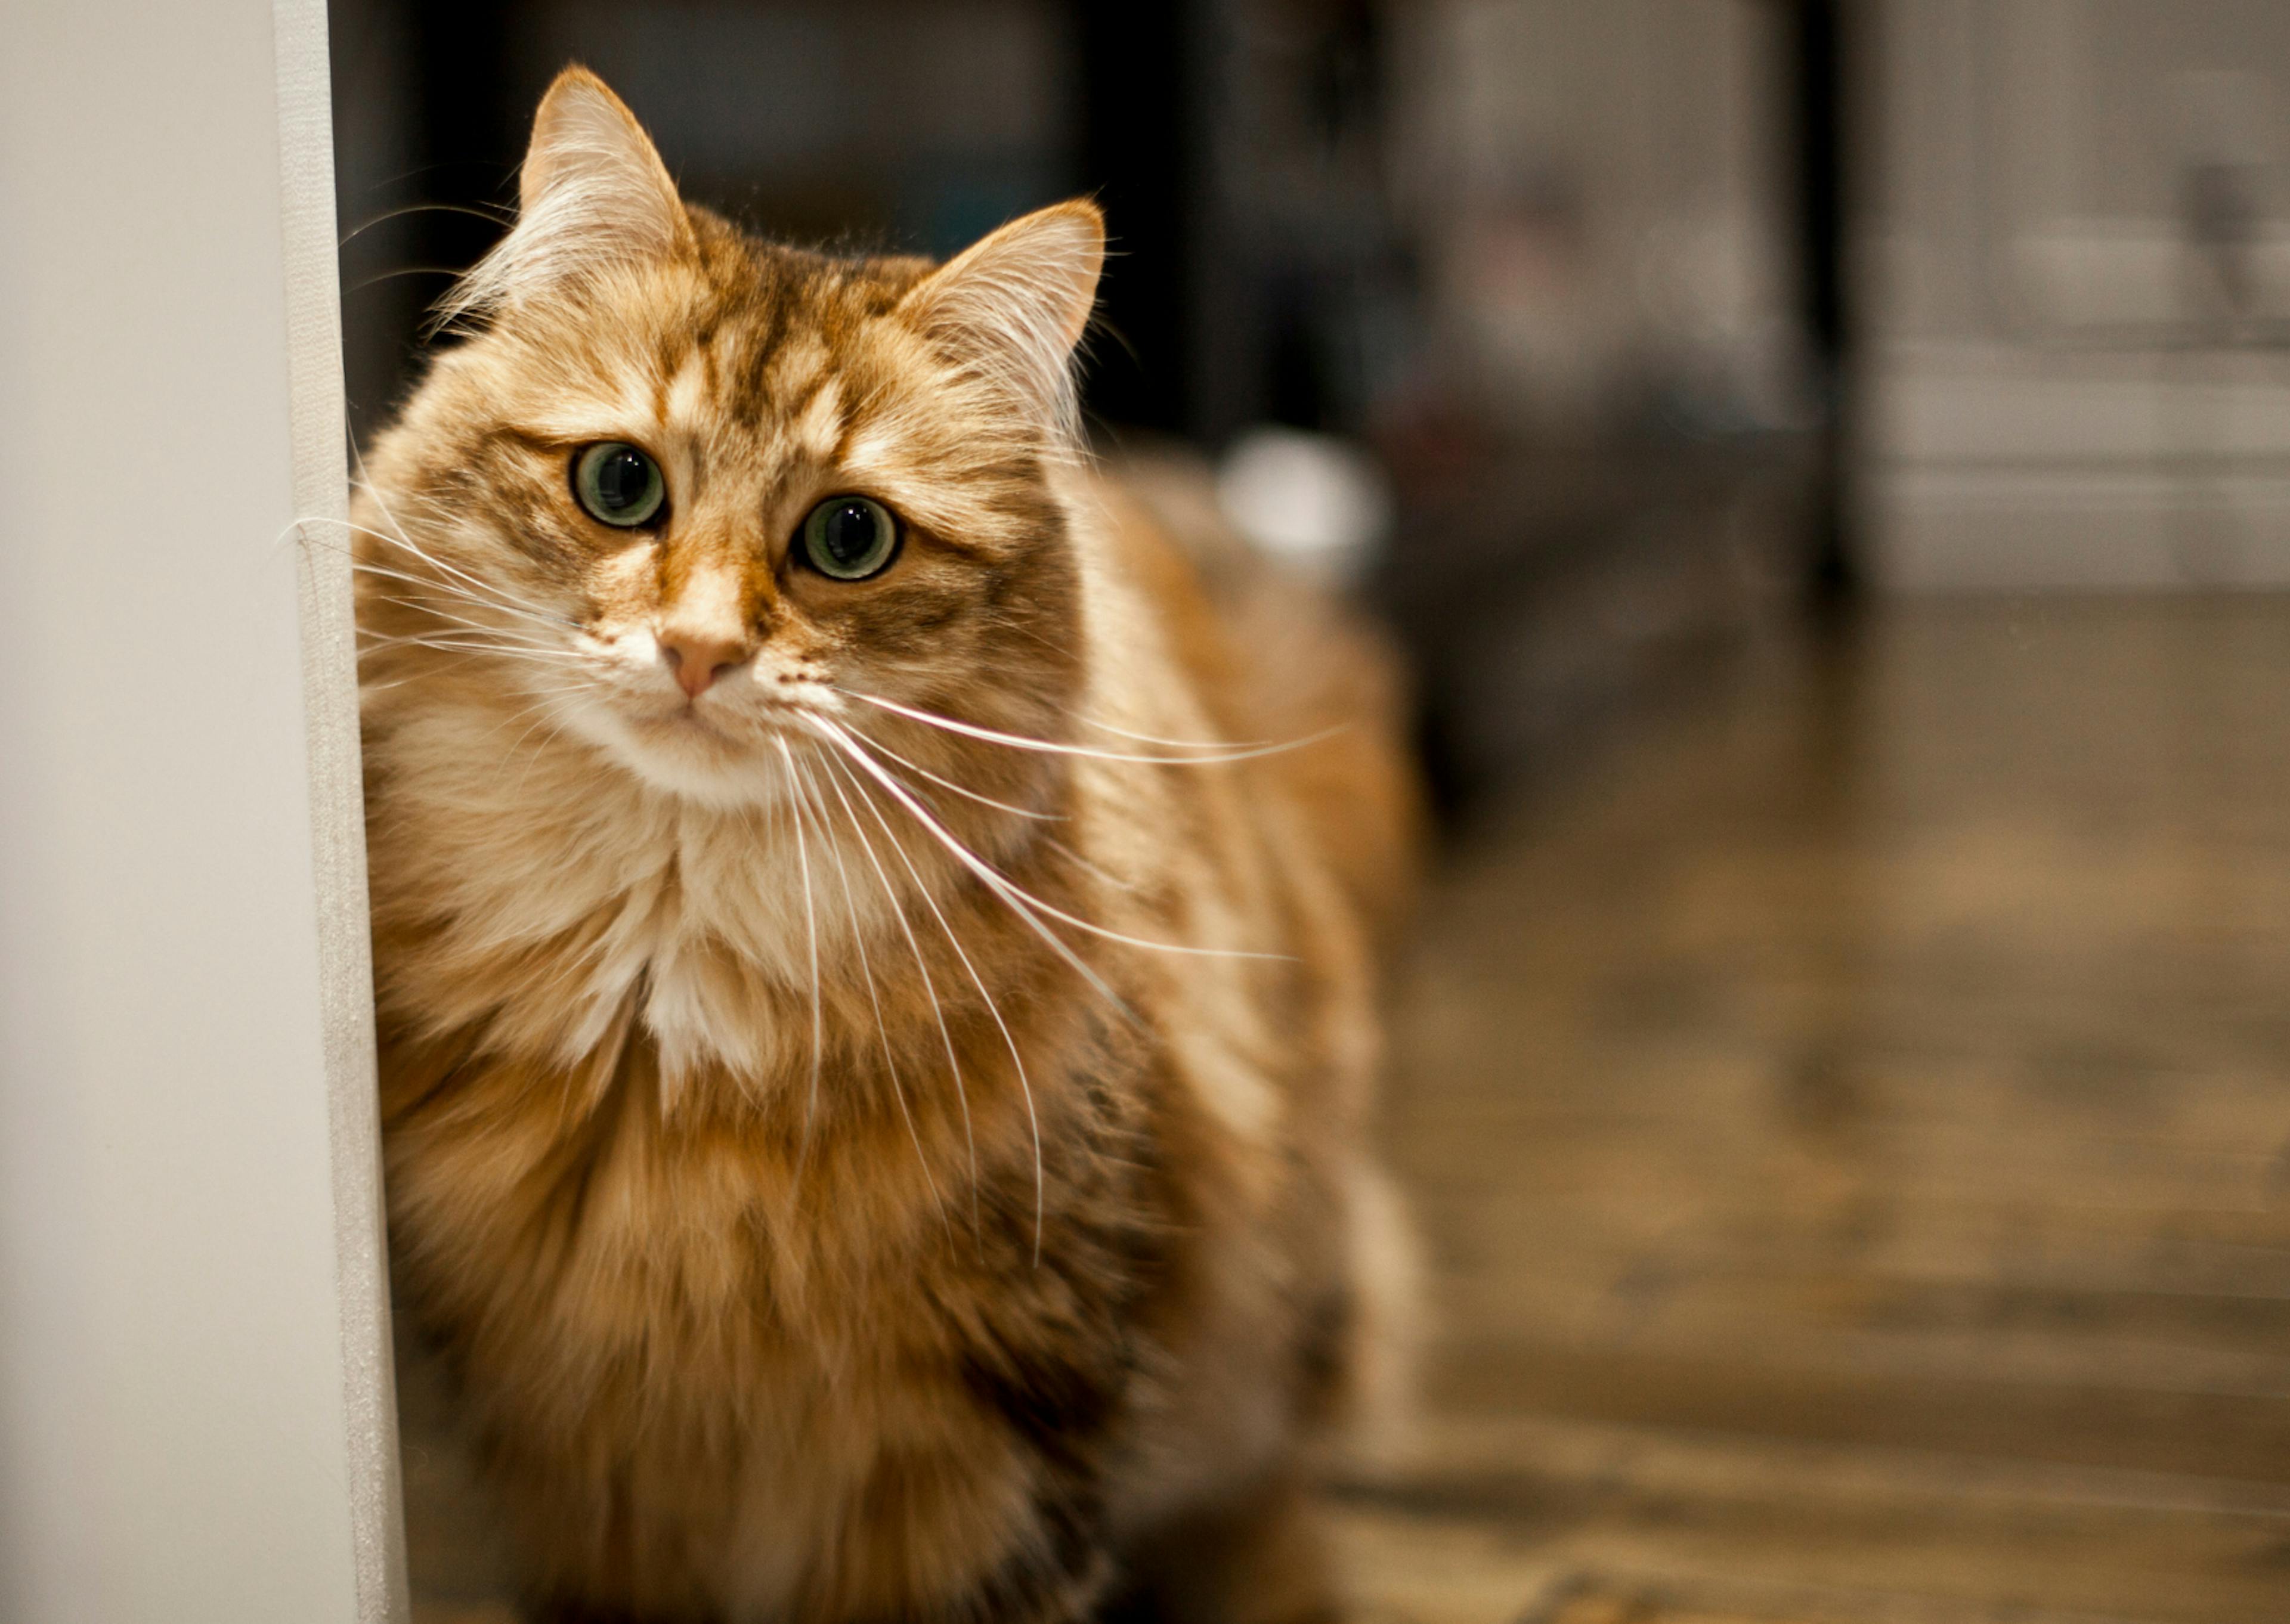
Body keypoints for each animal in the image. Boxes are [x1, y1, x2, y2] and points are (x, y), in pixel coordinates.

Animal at [361, 66, 1410, 1622]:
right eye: (618, 487)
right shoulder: (575, 1459)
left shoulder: (1002, 1436)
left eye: (848, 538)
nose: (698, 653)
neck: (662, 1026)